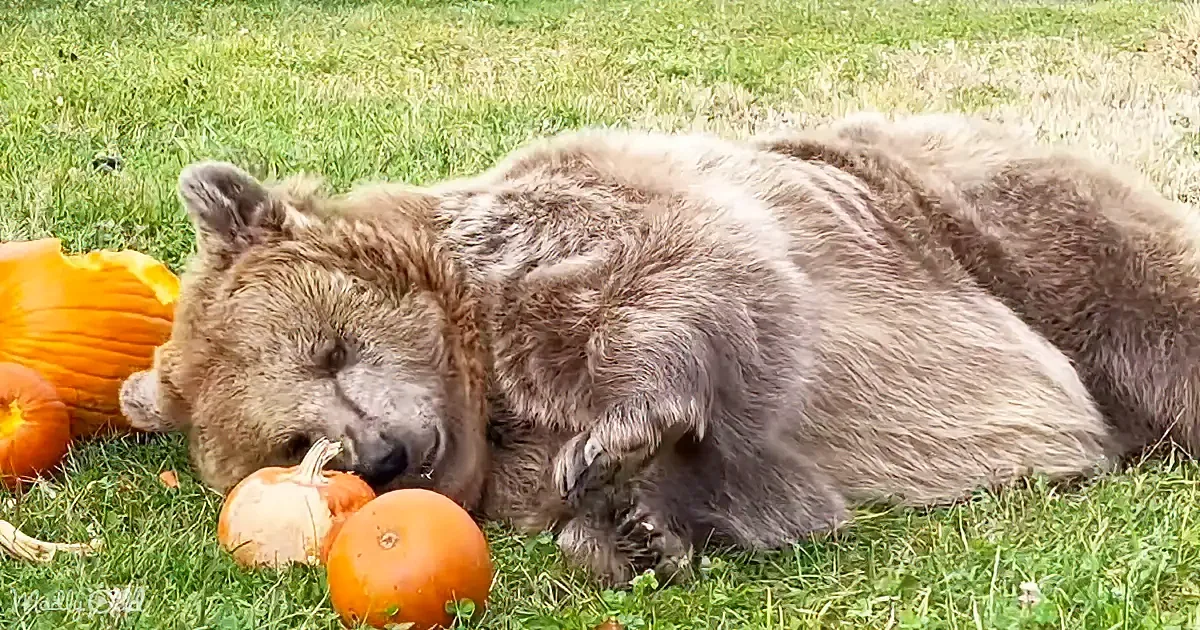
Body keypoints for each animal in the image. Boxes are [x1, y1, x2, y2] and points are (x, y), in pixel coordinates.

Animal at [118, 112, 1200, 587]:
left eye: (332, 349)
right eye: (298, 443)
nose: (388, 453)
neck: (490, 396)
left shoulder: (563, 228)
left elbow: (696, 278)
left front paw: (618, 445)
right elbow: (761, 489)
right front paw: (638, 528)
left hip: (994, 225)